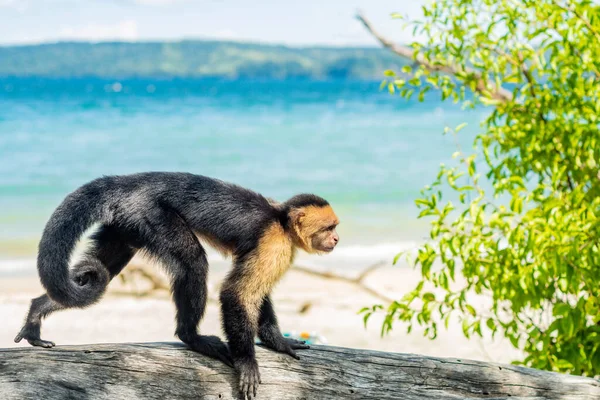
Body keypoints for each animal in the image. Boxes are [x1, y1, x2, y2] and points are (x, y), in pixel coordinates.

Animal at [14, 171, 340, 396]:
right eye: (329, 228)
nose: (337, 239)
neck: (280, 219)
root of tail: (130, 183)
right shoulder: (274, 243)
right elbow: (238, 293)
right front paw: (247, 361)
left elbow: (257, 295)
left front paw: (278, 341)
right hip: (149, 214)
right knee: (192, 261)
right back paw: (191, 335)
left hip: (126, 221)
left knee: (104, 266)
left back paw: (37, 311)